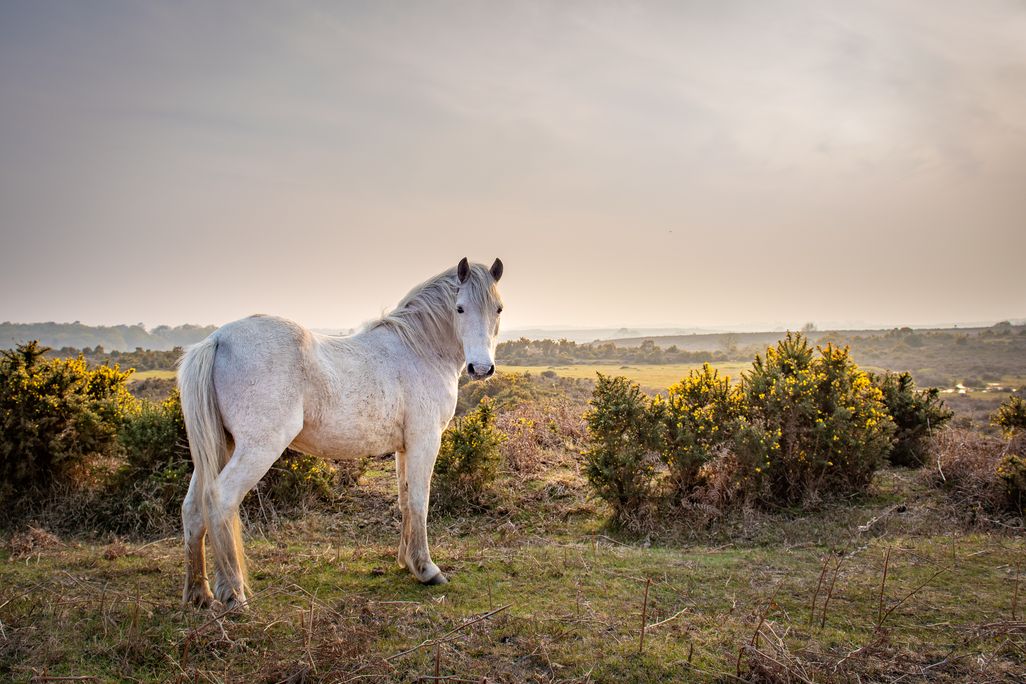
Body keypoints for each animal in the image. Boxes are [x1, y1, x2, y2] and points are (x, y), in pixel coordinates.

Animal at [177, 257, 504, 609]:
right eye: (459, 308)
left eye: (498, 309)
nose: (481, 369)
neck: (419, 350)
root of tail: (217, 339)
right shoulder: (425, 441)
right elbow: (420, 501)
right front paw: (427, 569)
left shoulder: (404, 447)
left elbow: (405, 501)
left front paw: (407, 562)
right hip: (257, 449)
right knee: (220, 500)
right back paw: (234, 596)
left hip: (219, 447)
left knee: (193, 509)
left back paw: (199, 594)